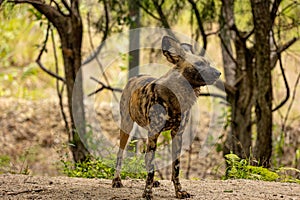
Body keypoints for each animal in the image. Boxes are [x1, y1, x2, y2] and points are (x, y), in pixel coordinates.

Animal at [112, 35, 220, 198]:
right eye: (199, 64)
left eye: (207, 63)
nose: (219, 73)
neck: (178, 98)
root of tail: (135, 76)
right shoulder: (154, 133)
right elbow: (150, 166)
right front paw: (147, 193)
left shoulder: (177, 134)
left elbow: (175, 168)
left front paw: (179, 191)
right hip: (127, 126)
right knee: (121, 153)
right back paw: (117, 181)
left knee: (146, 156)